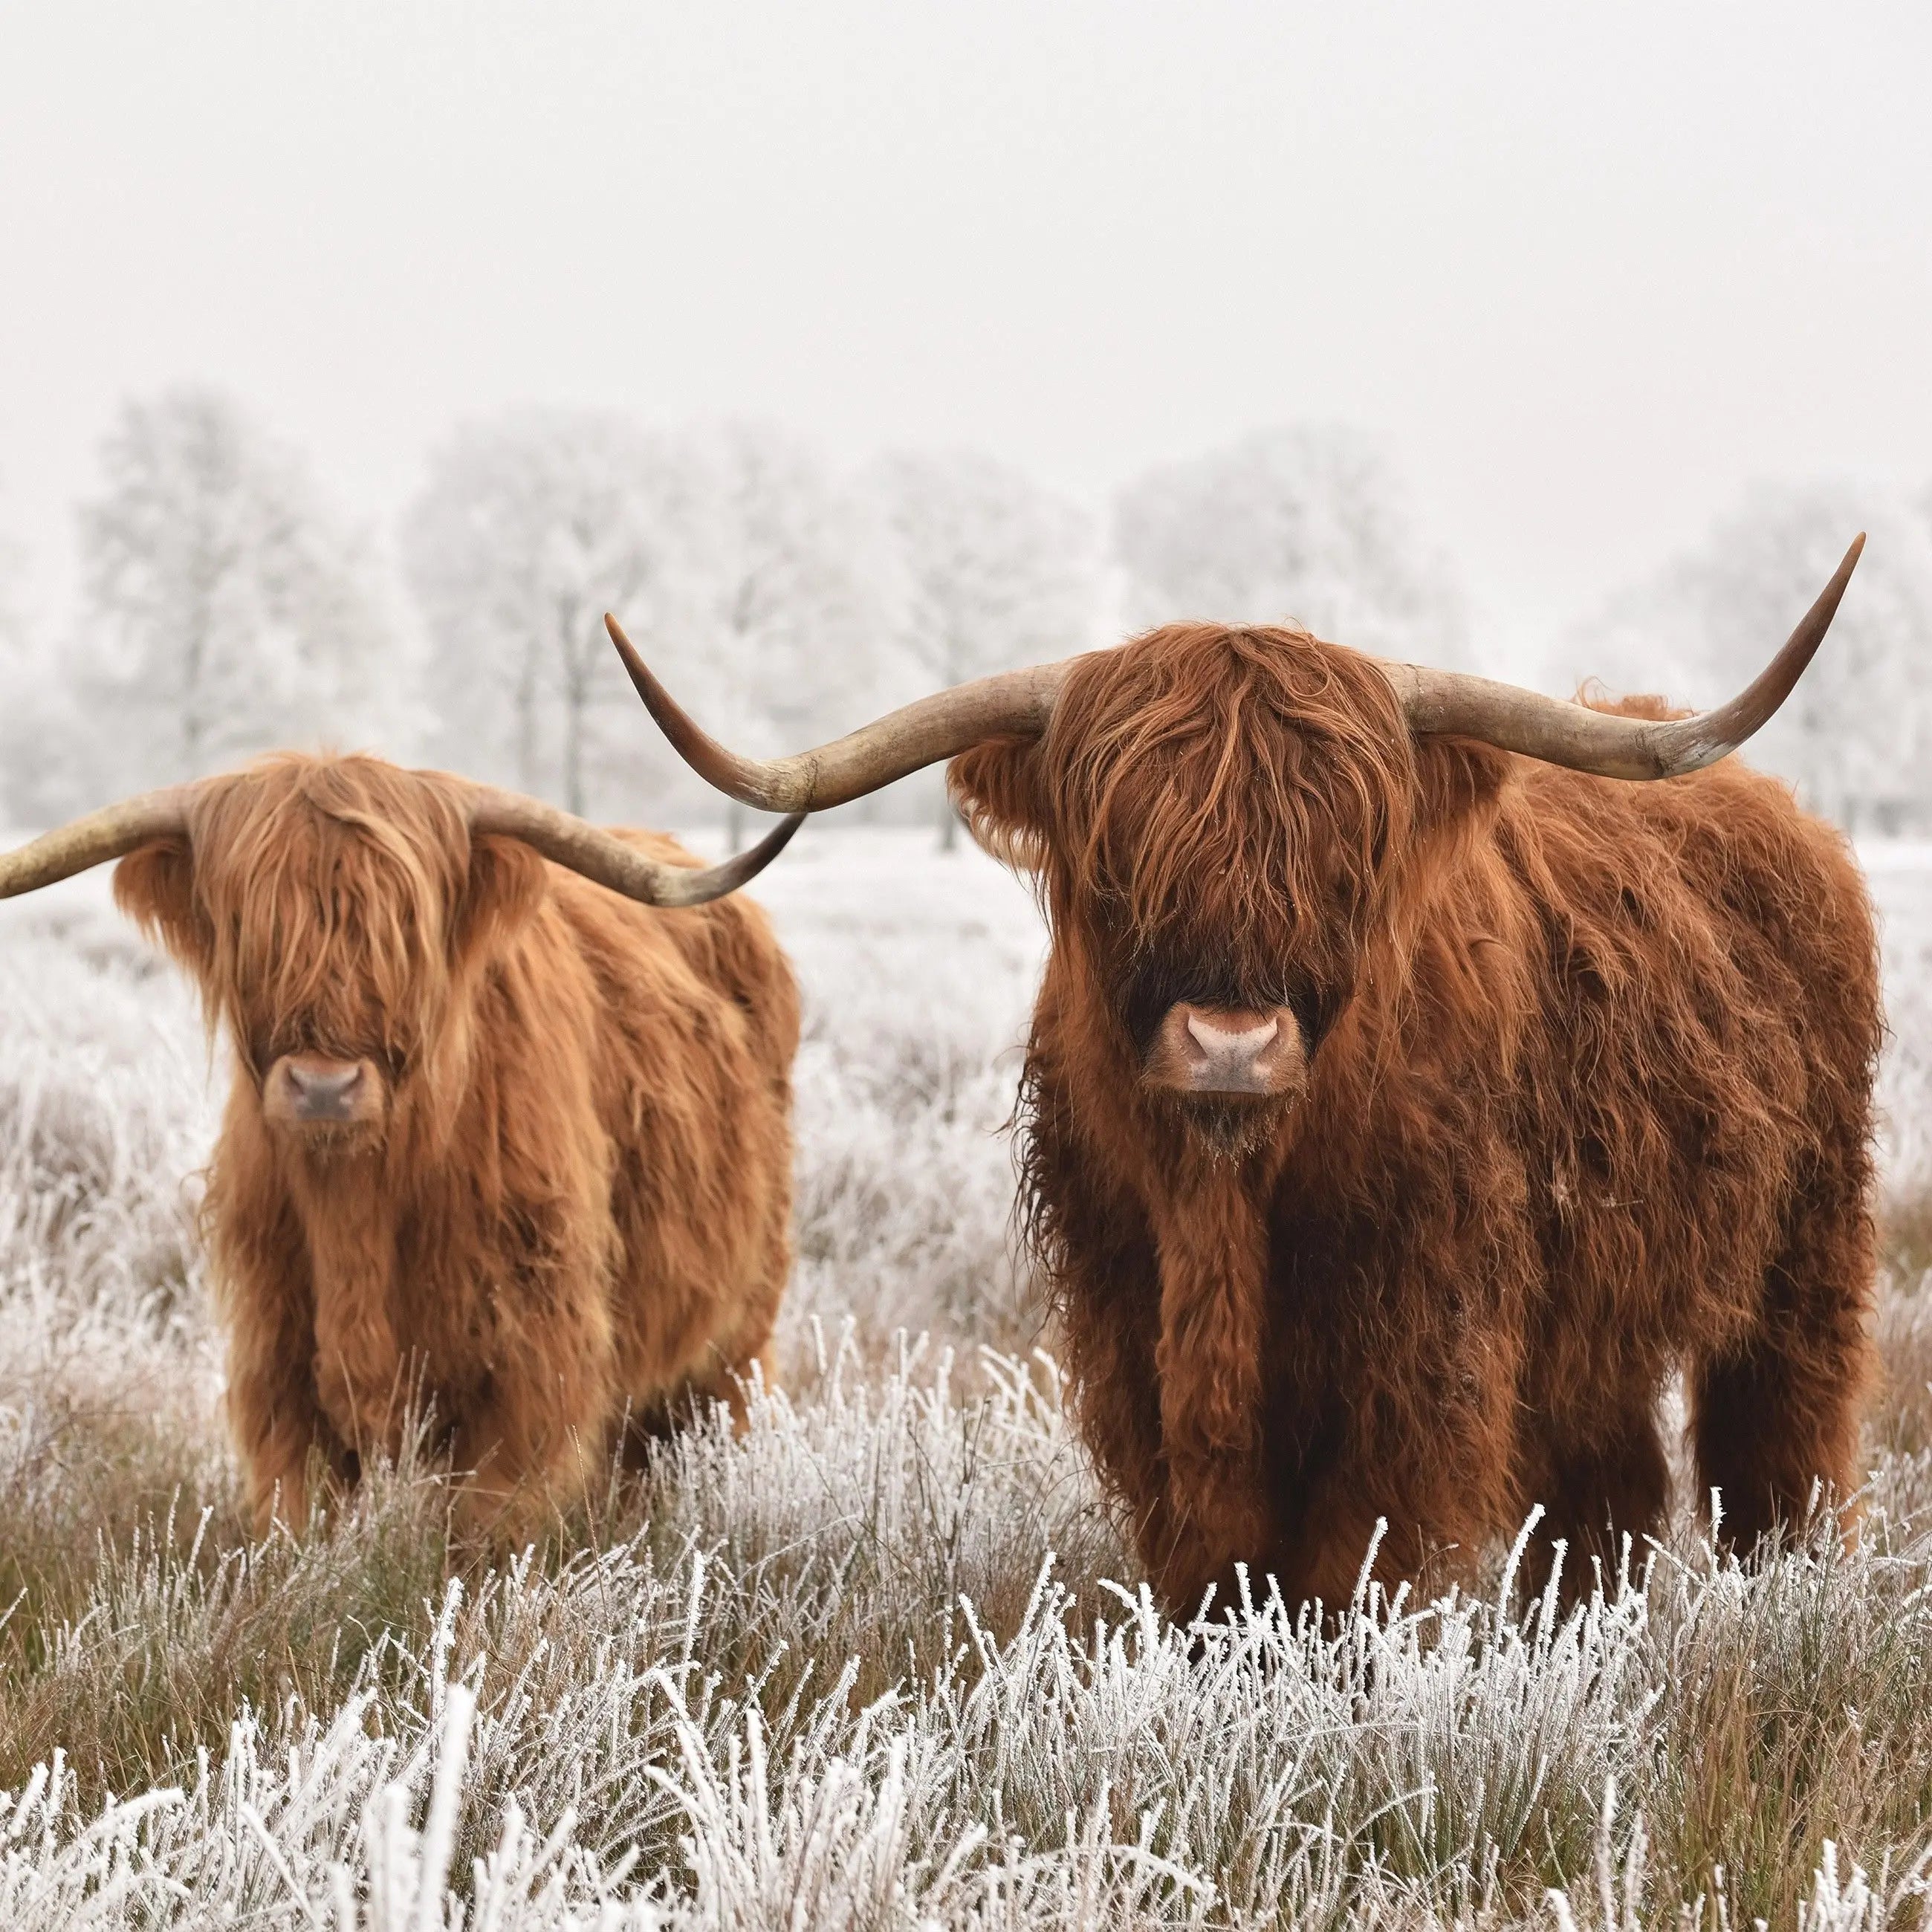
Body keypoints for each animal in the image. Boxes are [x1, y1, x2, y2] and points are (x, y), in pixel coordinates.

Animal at [0, 745, 800, 1530]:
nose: (324, 1086)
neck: (358, 1202)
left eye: (404, 932)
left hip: (735, 1335)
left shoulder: (529, 1367)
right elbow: (301, 1518)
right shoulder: (277, 1365)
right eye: (248, 925)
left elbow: (486, 1527)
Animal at [606, 533, 1885, 1615]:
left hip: (1807, 1242)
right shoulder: (1133, 1332)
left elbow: (1353, 1561)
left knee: (1782, 1440)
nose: (1230, 1044)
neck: (1226, 1205)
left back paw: (1783, 1600)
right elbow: (1212, 1561)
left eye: (1348, 859)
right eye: (1118, 857)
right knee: (1607, 1487)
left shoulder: (1422, 1345)